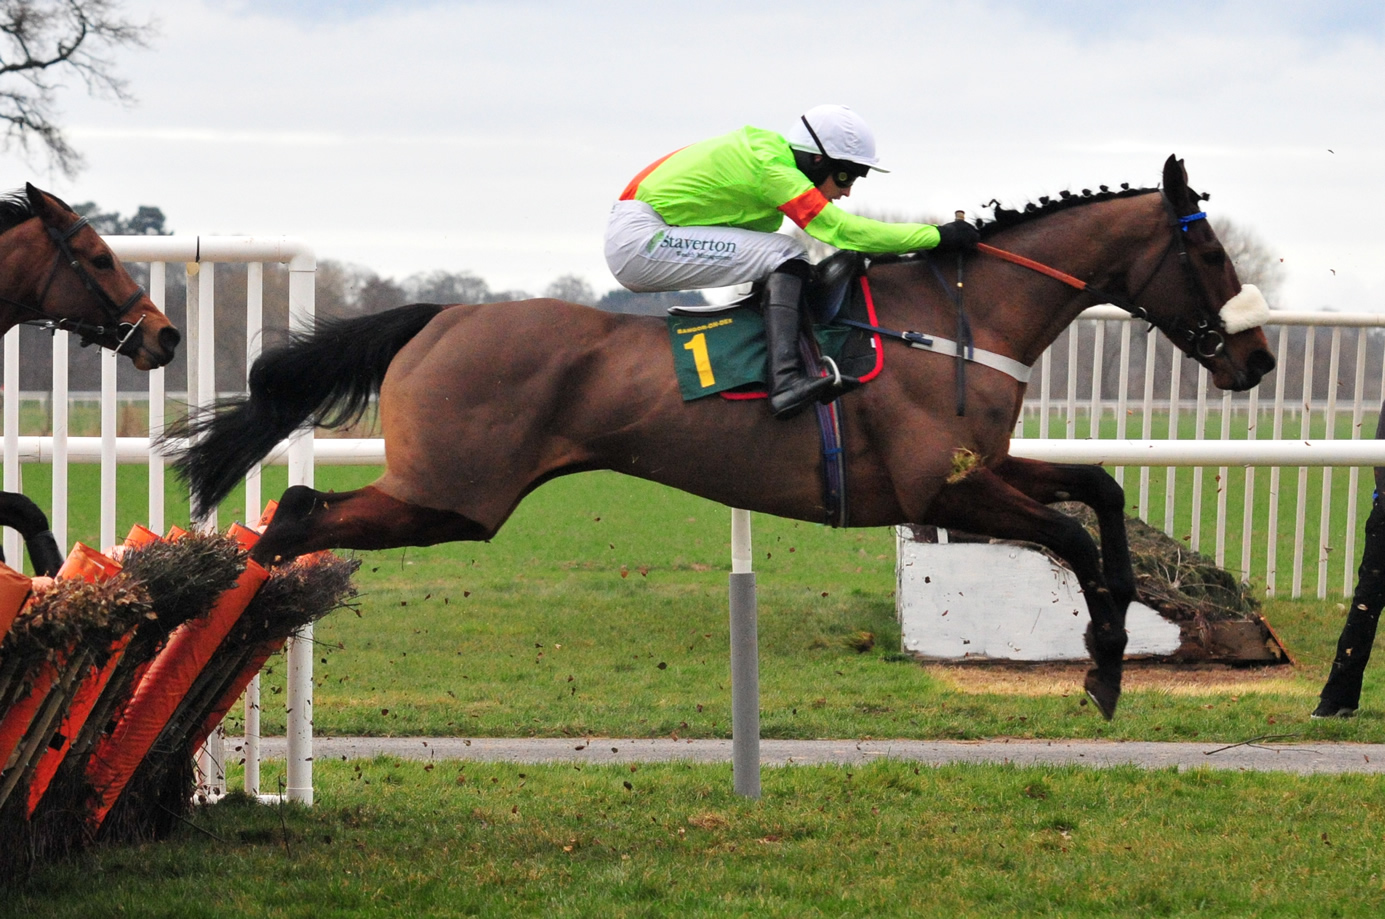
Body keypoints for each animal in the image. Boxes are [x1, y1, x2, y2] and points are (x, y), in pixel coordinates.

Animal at [164, 156, 1274, 719]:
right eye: (1210, 254)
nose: (1257, 360)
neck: (960, 316)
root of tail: (439, 315)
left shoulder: (980, 468)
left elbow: (1101, 489)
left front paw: (1114, 645)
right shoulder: (940, 489)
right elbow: (1076, 534)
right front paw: (1100, 662)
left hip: (446, 496)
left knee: (299, 510)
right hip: (452, 493)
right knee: (297, 509)